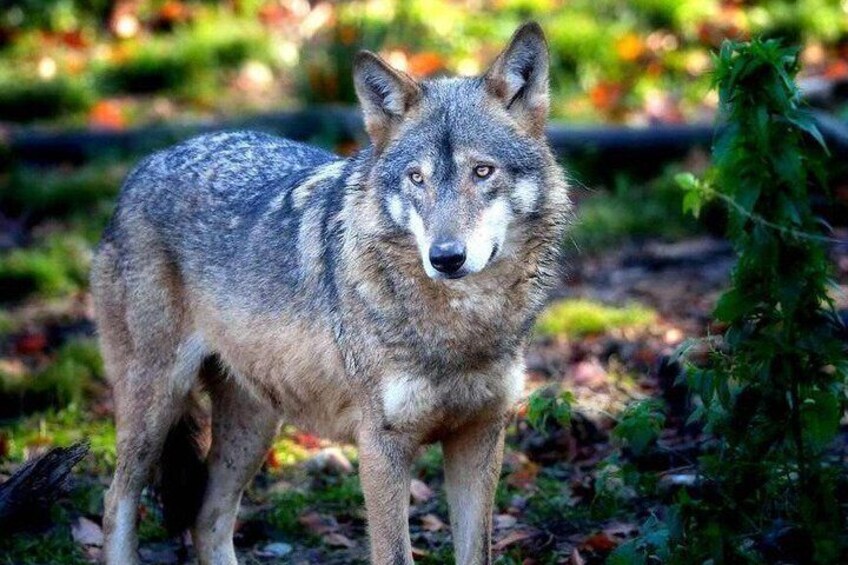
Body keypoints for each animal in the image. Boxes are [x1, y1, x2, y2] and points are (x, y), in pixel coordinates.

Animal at [91, 21, 570, 565]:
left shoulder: (481, 435)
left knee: (206, 519)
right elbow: (394, 554)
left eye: (482, 171)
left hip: (254, 424)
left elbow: (476, 552)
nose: (446, 258)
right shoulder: (381, 447)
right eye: (417, 178)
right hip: (156, 406)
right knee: (116, 503)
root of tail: (143, 166)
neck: (460, 325)